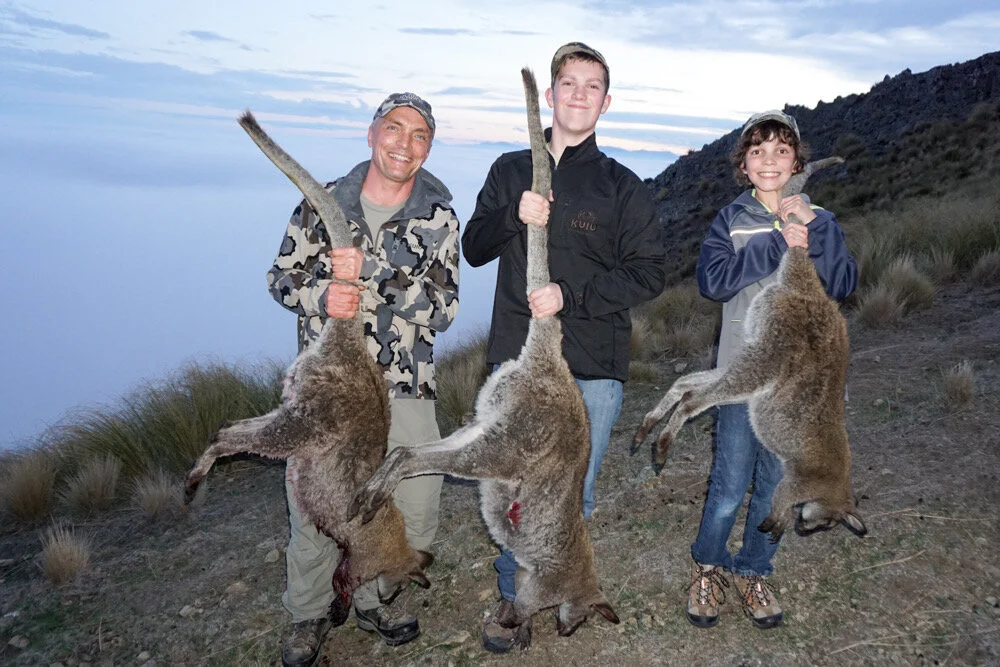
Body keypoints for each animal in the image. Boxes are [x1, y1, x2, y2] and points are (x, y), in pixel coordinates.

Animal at [348, 68, 619, 650]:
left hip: (489, 419)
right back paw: (383, 487)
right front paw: (519, 624)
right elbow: (526, 599)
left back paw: (380, 489)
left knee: (418, 452)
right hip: (512, 442)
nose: (569, 630)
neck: (579, 571)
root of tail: (552, 363)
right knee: (425, 460)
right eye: (585, 618)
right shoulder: (543, 579)